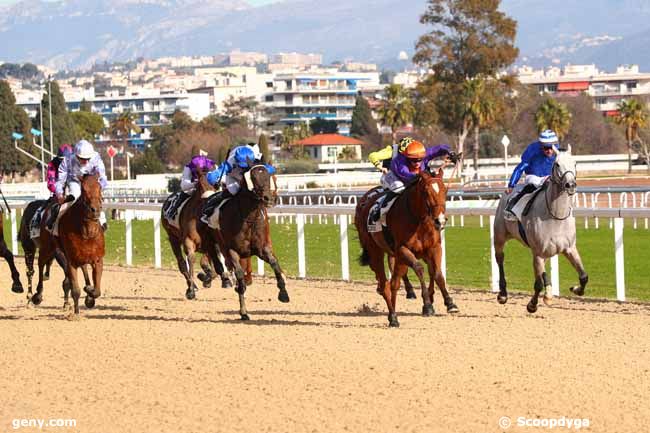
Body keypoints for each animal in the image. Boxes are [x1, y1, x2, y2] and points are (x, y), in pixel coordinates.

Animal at [33, 174, 105, 316]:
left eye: (99, 187)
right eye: (83, 189)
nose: (95, 210)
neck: (87, 233)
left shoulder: (97, 260)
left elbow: (97, 290)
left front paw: (89, 294)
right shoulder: (71, 260)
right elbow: (75, 290)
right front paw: (76, 313)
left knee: (84, 268)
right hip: (47, 247)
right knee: (40, 264)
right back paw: (37, 295)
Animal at [161, 170, 230, 300]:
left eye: (217, 185)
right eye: (200, 186)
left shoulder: (212, 243)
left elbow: (212, 265)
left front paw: (210, 278)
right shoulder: (189, 241)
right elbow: (192, 260)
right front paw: (191, 290)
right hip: (173, 238)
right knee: (182, 264)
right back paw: (191, 285)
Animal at [199, 164, 288, 318]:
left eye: (268, 176)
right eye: (253, 177)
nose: (268, 198)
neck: (248, 218)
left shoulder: (261, 249)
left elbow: (274, 264)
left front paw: (283, 293)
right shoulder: (231, 250)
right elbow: (239, 275)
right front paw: (243, 311)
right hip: (213, 242)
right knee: (219, 264)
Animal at [354, 167, 456, 326]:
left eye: (445, 190)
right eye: (426, 192)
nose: (440, 220)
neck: (418, 219)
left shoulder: (433, 248)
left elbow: (437, 273)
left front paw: (449, 302)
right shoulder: (403, 249)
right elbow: (419, 269)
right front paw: (427, 305)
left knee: (394, 282)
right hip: (375, 251)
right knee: (384, 284)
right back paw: (393, 316)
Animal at [492, 148, 588, 310]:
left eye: (575, 163)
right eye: (557, 164)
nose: (570, 184)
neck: (556, 216)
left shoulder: (569, 248)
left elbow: (583, 276)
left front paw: (575, 289)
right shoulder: (537, 252)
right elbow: (538, 284)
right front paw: (532, 305)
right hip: (500, 236)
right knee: (500, 259)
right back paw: (503, 294)